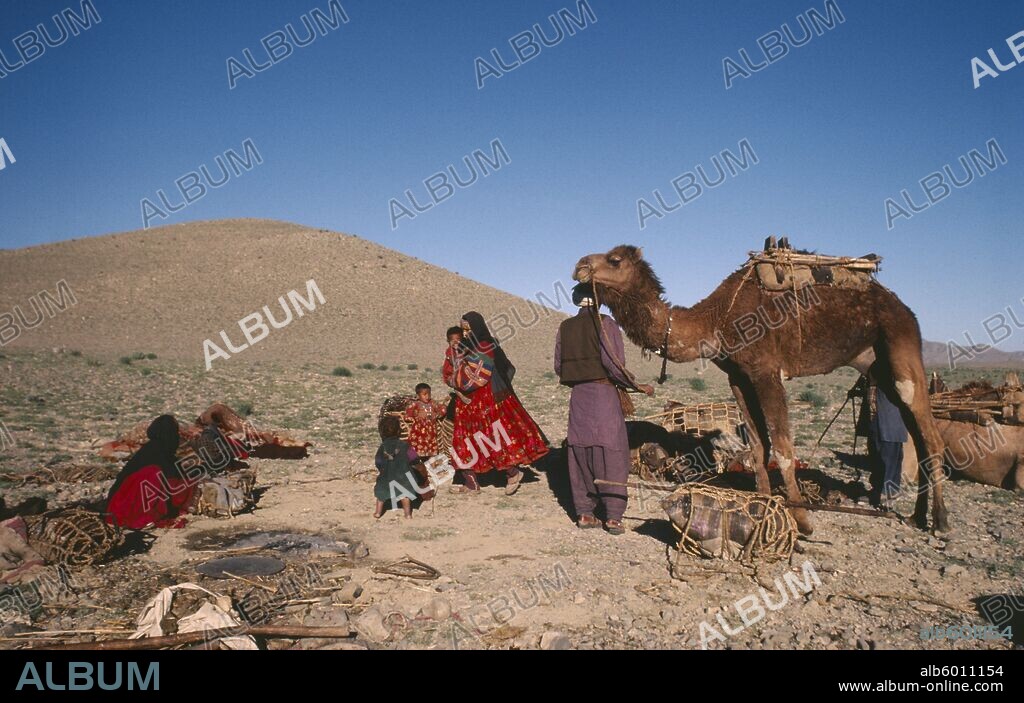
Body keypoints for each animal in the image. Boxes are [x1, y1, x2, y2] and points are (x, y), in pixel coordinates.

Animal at [573, 245, 949, 534]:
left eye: (614, 260)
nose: (579, 267)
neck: (716, 320)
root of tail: (903, 307)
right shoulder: (739, 377)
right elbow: (757, 448)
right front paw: (764, 507)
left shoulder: (767, 372)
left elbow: (781, 447)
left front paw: (802, 521)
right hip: (875, 363)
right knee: (917, 434)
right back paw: (917, 516)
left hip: (901, 343)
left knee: (930, 435)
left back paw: (941, 522)